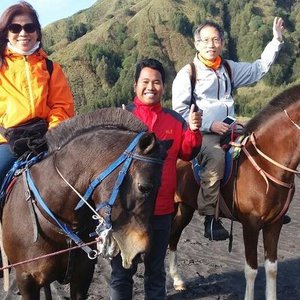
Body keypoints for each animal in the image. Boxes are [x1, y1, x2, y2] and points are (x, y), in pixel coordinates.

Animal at [169, 85, 300, 300]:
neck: (267, 164)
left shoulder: (274, 224)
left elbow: (272, 269)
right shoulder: (251, 224)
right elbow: (252, 270)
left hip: (185, 207)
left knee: (173, 236)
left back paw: (178, 279)